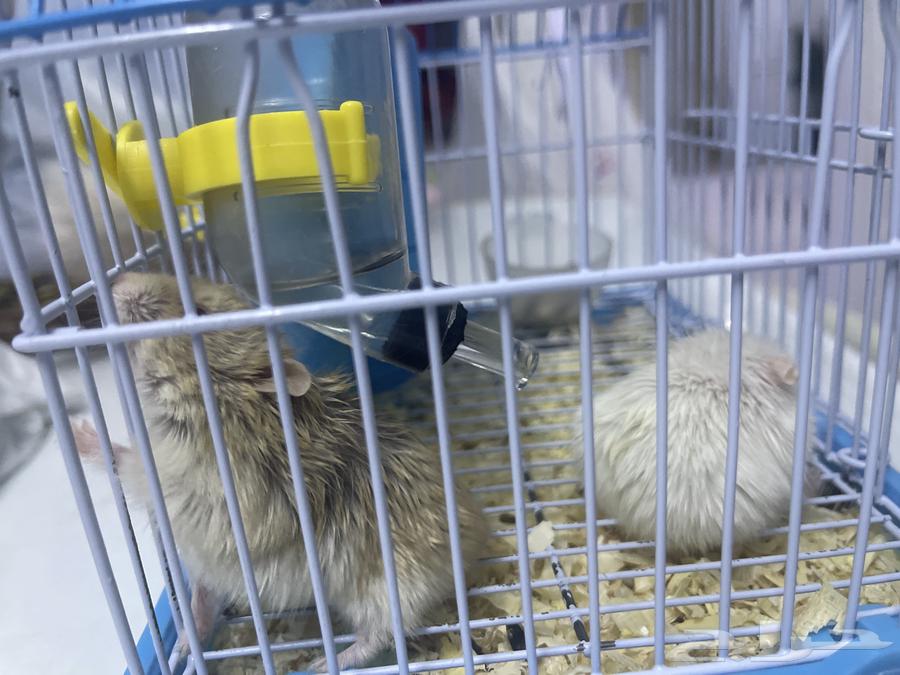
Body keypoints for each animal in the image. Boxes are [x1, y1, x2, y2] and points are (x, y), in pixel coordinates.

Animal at [73, 272, 486, 671]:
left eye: (201, 312)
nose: (115, 282)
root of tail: (476, 541)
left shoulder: (197, 489)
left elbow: (129, 464)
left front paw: (79, 433)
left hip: (389, 587)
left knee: (382, 635)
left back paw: (324, 662)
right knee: (205, 601)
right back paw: (191, 642)